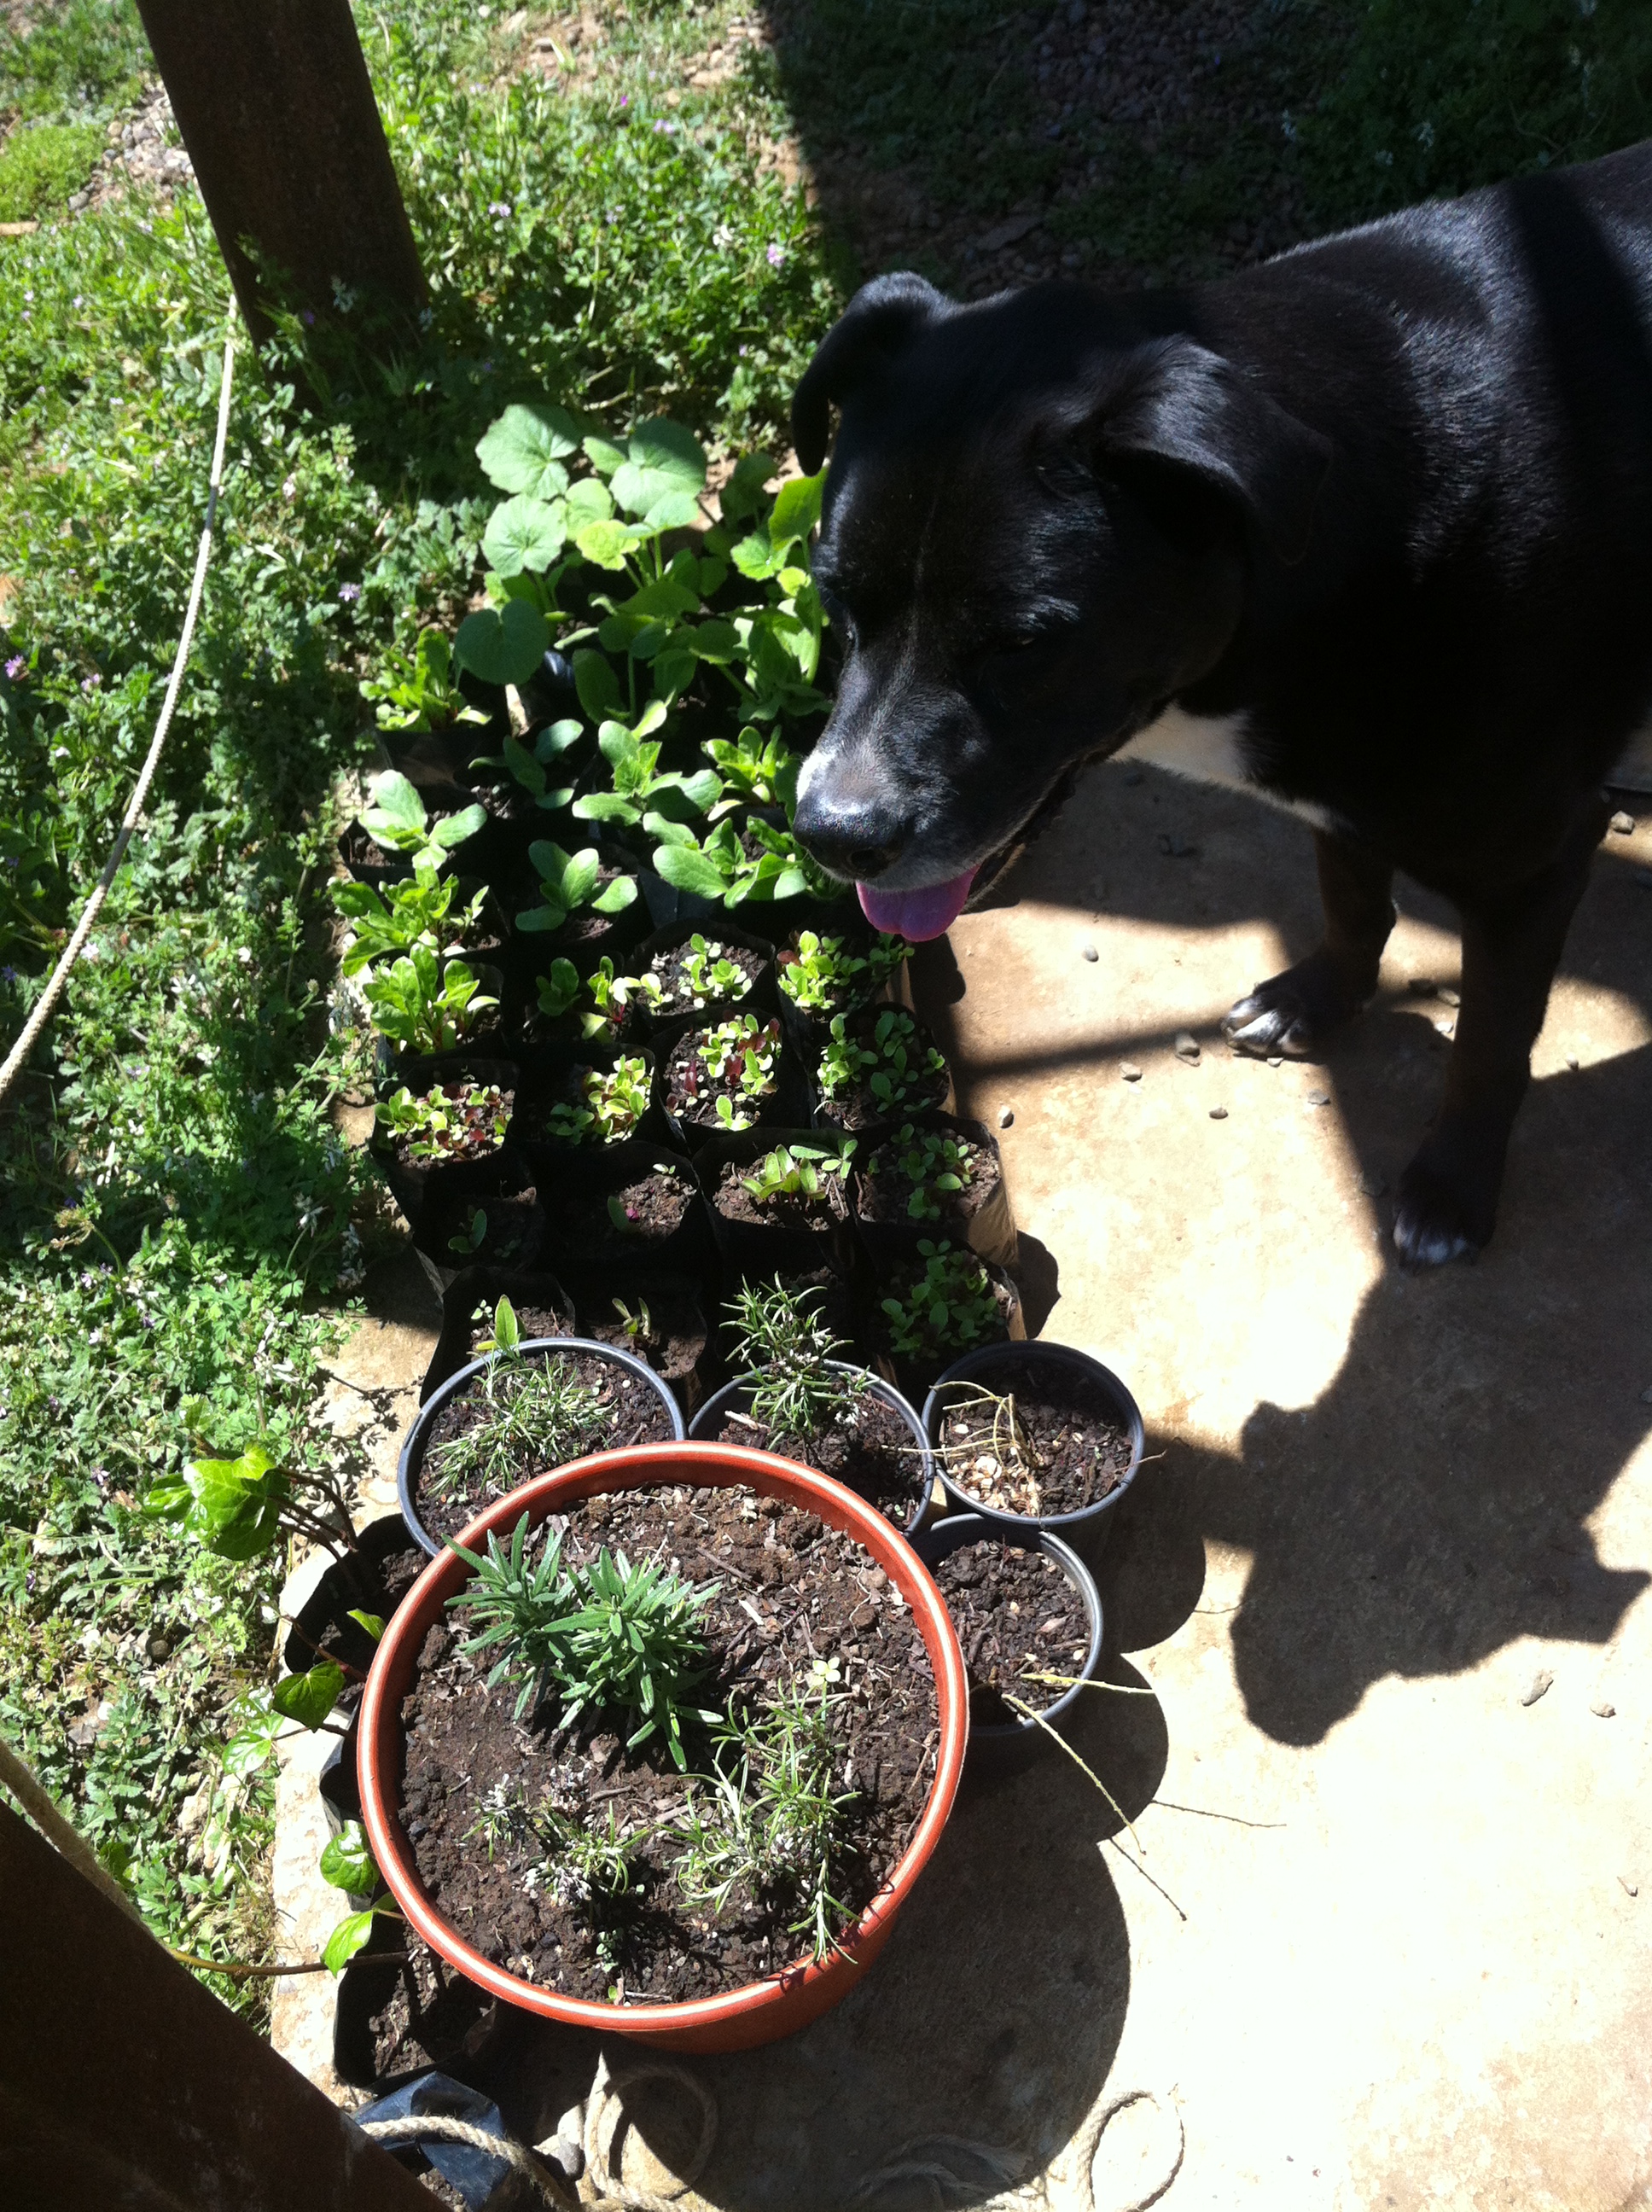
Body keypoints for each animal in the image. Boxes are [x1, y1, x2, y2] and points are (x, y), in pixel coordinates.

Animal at [787, 141, 1652, 1269]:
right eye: (833, 600)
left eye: (1023, 644)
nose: (831, 836)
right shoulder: (1338, 778)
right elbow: (1349, 897)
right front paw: (1316, 1000)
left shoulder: (1534, 865)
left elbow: (1490, 1044)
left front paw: (1451, 1190)